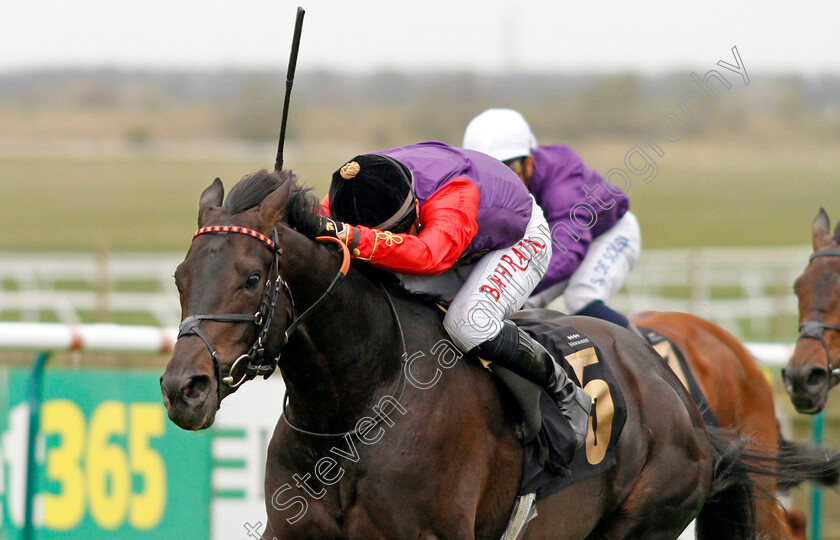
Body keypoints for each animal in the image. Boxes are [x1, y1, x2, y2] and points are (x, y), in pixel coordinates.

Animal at [162, 171, 760, 540]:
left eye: (250, 277)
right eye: (179, 277)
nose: (183, 389)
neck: (357, 410)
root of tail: (675, 391)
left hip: (645, 516)